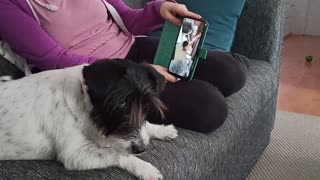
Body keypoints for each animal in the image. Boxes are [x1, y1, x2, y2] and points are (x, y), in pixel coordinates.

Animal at [0, 59, 178, 179]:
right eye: (121, 103)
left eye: (146, 106)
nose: (140, 149)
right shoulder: (75, 155)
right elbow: (117, 154)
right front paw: (146, 169)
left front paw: (162, 130)